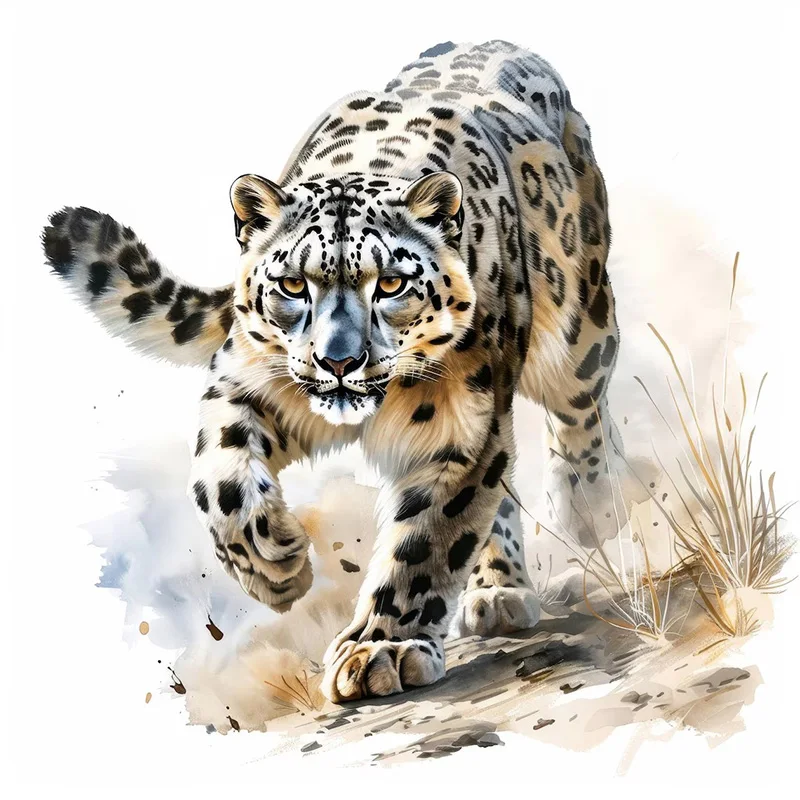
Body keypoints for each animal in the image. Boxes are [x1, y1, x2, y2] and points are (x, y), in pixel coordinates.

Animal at [42, 40, 622, 704]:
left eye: (391, 283)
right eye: (293, 284)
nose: (339, 361)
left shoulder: (460, 429)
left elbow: (429, 537)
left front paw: (381, 650)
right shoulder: (244, 383)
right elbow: (219, 478)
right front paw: (277, 565)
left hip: (583, 326)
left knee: (579, 411)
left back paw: (587, 514)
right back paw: (498, 588)